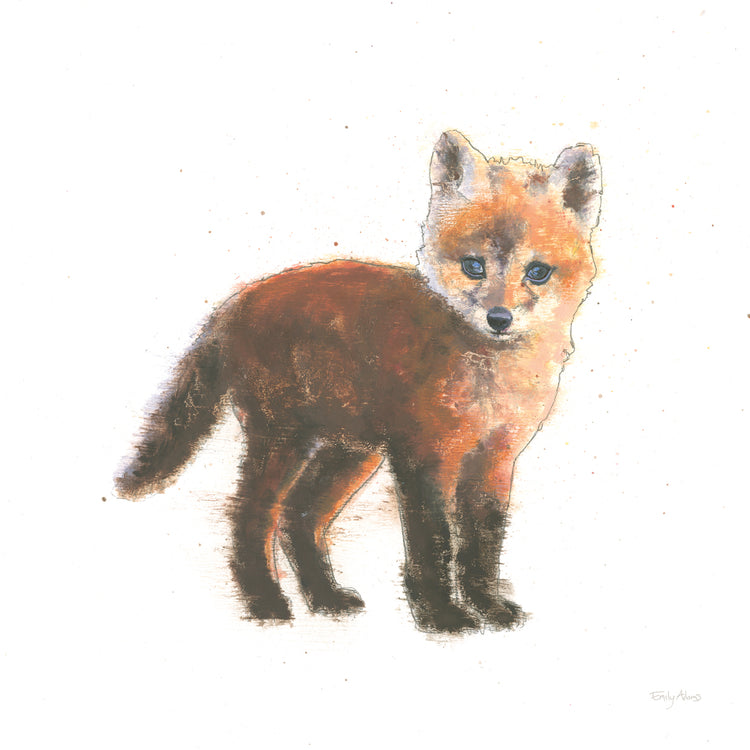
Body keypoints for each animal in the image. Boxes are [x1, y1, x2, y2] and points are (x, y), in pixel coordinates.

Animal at [116, 130, 601, 633]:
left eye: (538, 272)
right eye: (473, 266)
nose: (499, 319)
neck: (491, 380)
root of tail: (237, 302)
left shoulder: (495, 460)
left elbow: (482, 547)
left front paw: (486, 606)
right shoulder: (424, 458)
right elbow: (433, 546)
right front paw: (441, 615)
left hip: (350, 453)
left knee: (299, 517)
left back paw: (325, 598)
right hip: (285, 442)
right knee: (252, 516)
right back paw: (266, 604)